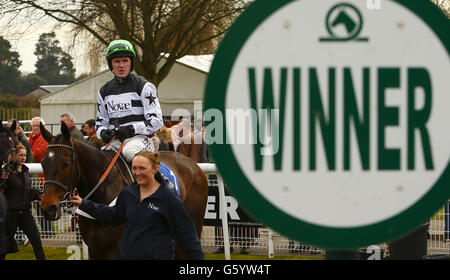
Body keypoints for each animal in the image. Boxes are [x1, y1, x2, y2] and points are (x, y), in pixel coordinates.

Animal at [38, 122, 209, 260]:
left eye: (66, 163)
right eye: (43, 163)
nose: (48, 208)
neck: (103, 193)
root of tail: (193, 164)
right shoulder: (96, 249)